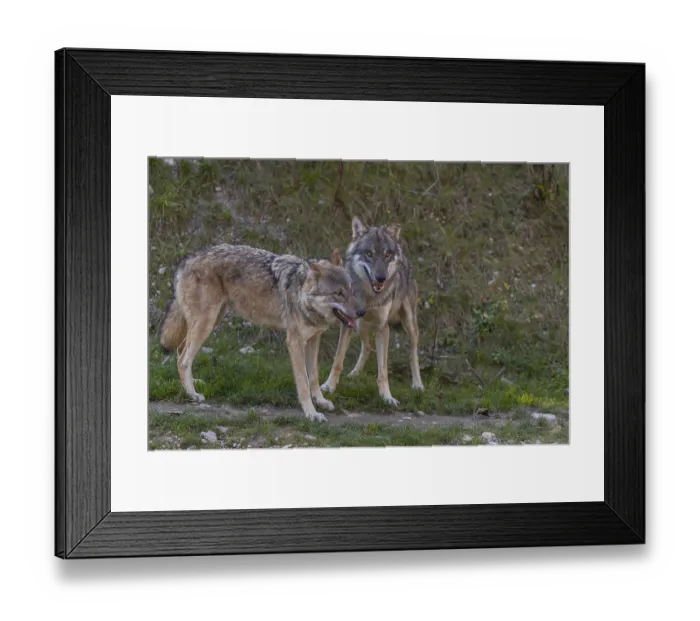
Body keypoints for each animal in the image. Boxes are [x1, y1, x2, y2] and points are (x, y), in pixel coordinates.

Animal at [158, 244, 365, 422]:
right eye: (338, 293)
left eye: (351, 289)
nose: (362, 312)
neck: (301, 294)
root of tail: (188, 258)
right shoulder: (295, 342)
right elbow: (304, 382)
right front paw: (311, 413)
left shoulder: (314, 339)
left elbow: (313, 377)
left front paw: (320, 401)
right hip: (205, 325)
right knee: (183, 359)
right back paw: (192, 394)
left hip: (210, 321)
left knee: (181, 352)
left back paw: (191, 384)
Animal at [321, 216, 424, 406]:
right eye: (369, 254)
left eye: (387, 255)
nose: (381, 278)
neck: (369, 296)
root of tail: (405, 258)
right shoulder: (348, 322)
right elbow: (338, 360)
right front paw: (328, 387)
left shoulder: (383, 327)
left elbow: (383, 370)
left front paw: (387, 397)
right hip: (360, 326)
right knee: (367, 346)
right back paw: (354, 374)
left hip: (410, 325)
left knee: (413, 353)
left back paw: (418, 384)